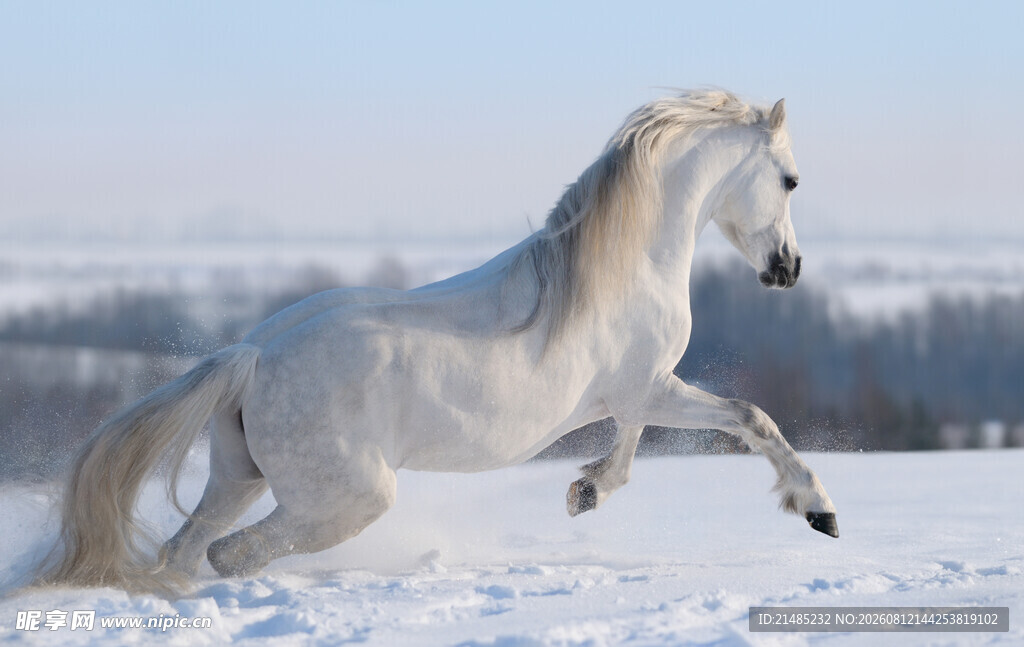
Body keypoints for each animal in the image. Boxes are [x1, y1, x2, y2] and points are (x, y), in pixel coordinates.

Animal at [37, 89, 838, 594]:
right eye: (791, 180)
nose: (789, 268)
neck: (623, 265)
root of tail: (254, 358)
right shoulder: (652, 386)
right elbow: (751, 418)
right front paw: (818, 509)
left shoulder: (636, 394)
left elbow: (633, 445)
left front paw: (585, 491)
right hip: (347, 497)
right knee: (232, 553)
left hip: (238, 476)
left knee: (187, 546)